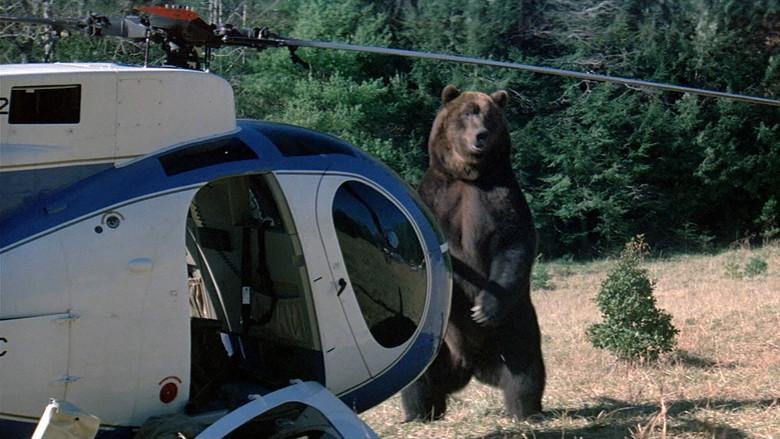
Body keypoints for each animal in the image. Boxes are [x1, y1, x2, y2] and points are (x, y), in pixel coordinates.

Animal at [401, 85, 545, 421]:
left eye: (489, 116)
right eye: (468, 113)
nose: (480, 135)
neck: (468, 175)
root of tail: (471, 365)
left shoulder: (500, 196)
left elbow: (513, 245)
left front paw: (482, 309)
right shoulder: (437, 197)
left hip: (515, 320)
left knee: (525, 361)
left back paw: (525, 409)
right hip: (435, 341)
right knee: (419, 375)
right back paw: (420, 412)